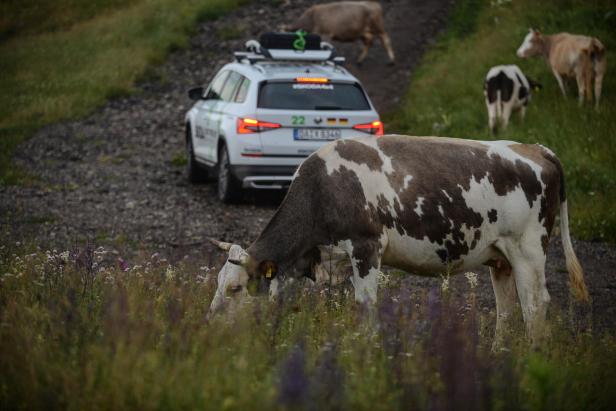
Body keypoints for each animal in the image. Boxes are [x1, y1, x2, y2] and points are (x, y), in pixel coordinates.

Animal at [209, 135, 588, 344]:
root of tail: (535, 148)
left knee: (535, 306)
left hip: (528, 250)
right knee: (506, 311)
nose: (209, 325)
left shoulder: (366, 248)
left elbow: (365, 308)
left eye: (236, 288)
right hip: (501, 259)